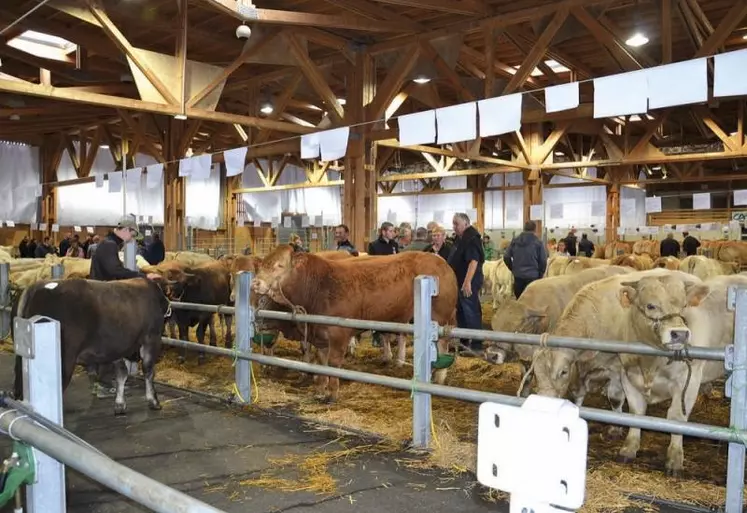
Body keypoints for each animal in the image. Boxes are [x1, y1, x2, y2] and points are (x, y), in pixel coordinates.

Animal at [12, 278, 171, 414]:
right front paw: (154, 401)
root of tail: (36, 287)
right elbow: (148, 370)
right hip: (63, 362)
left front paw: (120, 404)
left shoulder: (116, 347)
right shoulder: (151, 338)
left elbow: (121, 373)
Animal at [254, 246, 458, 402]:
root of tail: (440, 261)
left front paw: (332, 393)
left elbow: (333, 363)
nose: (255, 283)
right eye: (262, 264)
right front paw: (320, 389)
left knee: (442, 345)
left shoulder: (338, 333)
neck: (318, 287)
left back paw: (437, 377)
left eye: (279, 265)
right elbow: (321, 362)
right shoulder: (319, 336)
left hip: (439, 317)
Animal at [532, 270, 712, 474]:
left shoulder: (618, 368)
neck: (595, 318)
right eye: (536, 374)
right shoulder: (580, 368)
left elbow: (616, 398)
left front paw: (616, 428)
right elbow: (577, 394)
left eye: (562, 372)